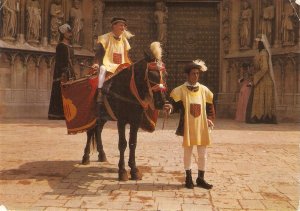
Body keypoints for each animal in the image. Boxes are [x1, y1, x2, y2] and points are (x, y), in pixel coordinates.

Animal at [82, 42, 166, 181]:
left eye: (163, 75)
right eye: (152, 74)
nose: (161, 103)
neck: (127, 90)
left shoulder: (135, 121)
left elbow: (133, 143)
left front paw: (134, 169)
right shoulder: (121, 121)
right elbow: (122, 144)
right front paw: (122, 171)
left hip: (103, 117)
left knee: (98, 131)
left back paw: (102, 154)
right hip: (95, 116)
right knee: (90, 133)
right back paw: (86, 157)